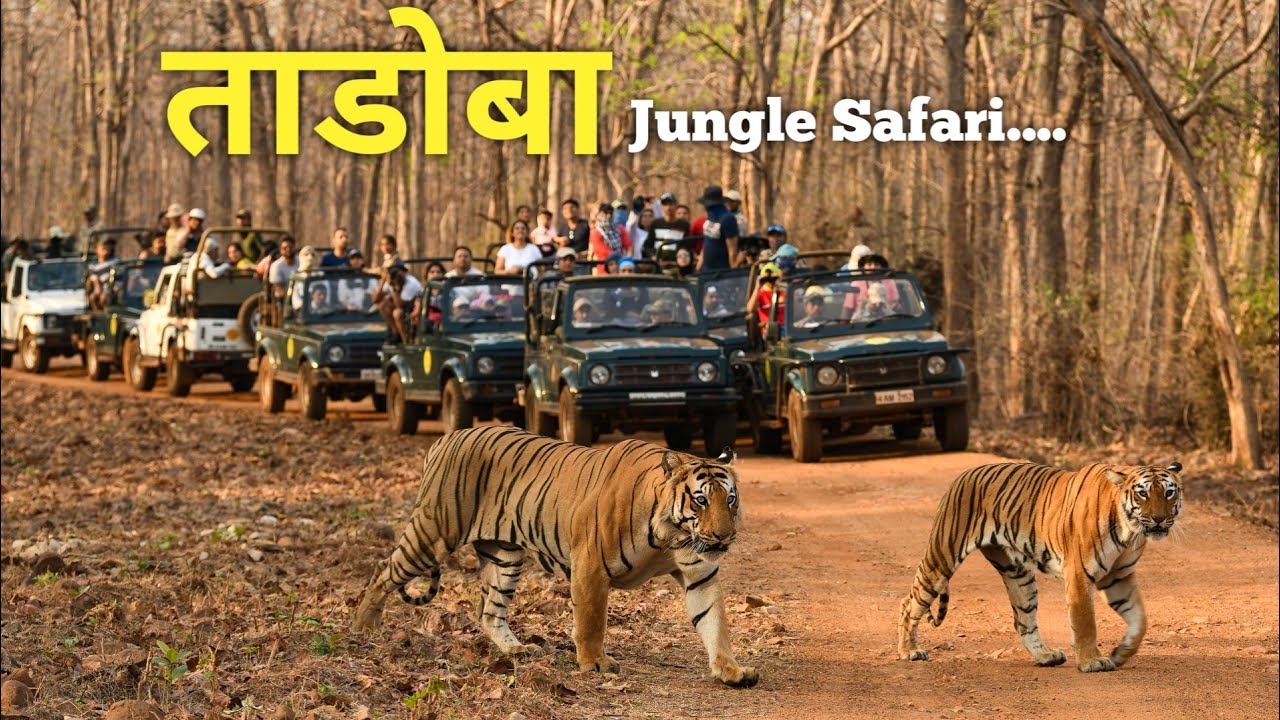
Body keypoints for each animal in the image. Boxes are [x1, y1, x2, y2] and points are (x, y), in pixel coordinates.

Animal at [351, 426, 759, 688]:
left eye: (730, 499)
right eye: (701, 500)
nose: (724, 536)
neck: (669, 535)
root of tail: (445, 438)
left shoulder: (700, 572)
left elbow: (714, 623)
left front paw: (731, 670)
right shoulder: (590, 565)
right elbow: (591, 621)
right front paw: (595, 663)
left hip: (505, 557)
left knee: (489, 611)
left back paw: (517, 650)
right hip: (434, 532)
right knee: (383, 569)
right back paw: (362, 628)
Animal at [897, 461, 1183, 673]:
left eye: (1169, 492)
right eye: (1142, 493)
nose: (1159, 519)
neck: (1129, 532)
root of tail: (964, 474)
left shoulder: (1119, 577)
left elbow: (1140, 619)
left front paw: (1121, 653)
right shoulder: (1079, 573)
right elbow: (1085, 622)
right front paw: (1092, 661)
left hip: (1018, 575)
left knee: (1023, 621)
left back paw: (1046, 656)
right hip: (942, 555)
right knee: (909, 601)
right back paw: (908, 651)